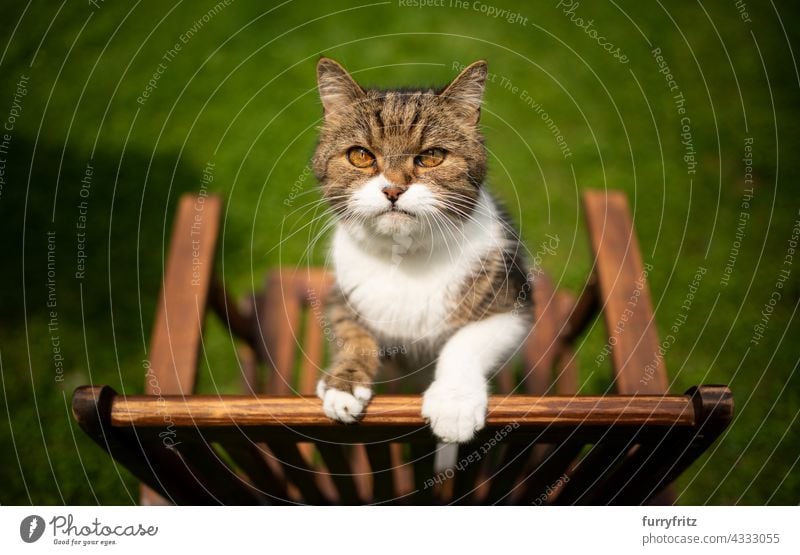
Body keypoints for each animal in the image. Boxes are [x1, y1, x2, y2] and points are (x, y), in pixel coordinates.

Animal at [312, 57, 532, 444]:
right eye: (360, 155)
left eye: (431, 156)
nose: (393, 189)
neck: (407, 258)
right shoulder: (342, 295)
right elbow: (351, 333)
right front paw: (344, 385)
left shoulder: (511, 304)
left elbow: (464, 342)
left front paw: (454, 404)